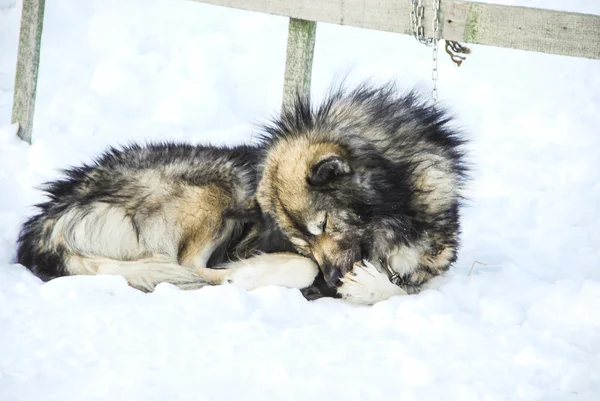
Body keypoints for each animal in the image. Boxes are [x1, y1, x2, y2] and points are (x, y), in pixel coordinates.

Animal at [12, 80, 464, 304]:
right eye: (305, 238)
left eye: (325, 224)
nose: (334, 280)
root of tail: (46, 220)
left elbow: (399, 288)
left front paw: (367, 285)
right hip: (215, 189)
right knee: (188, 267)